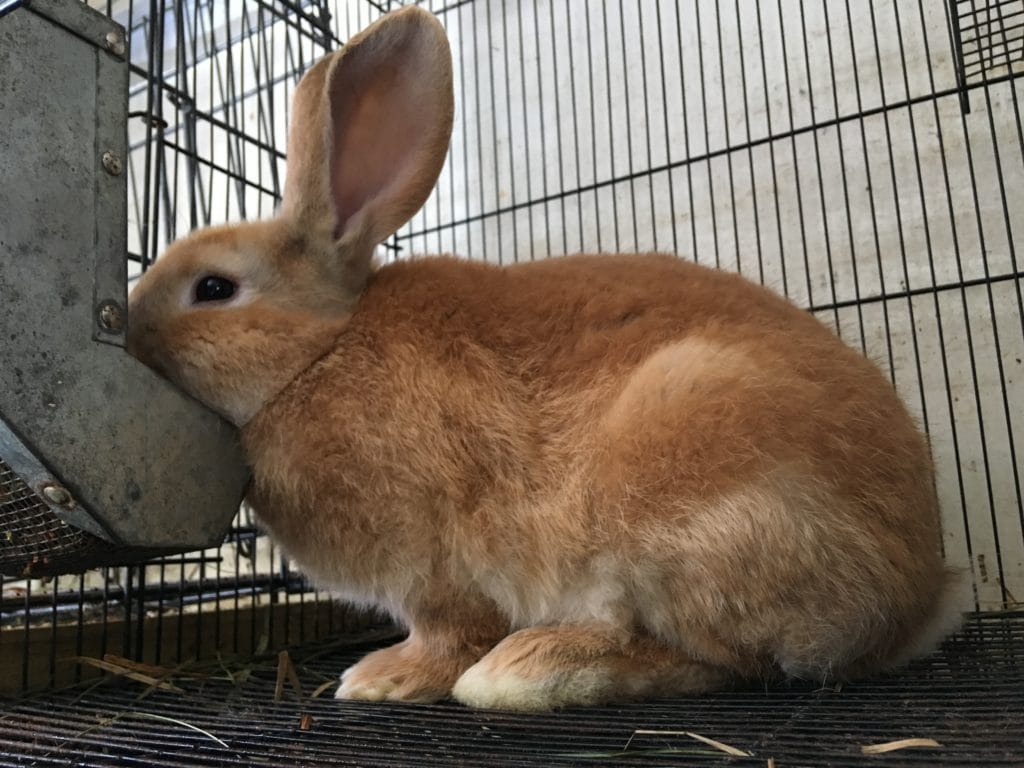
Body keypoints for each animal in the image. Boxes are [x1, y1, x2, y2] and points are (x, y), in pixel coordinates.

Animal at [127, 6, 962, 711]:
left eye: (213, 288)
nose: (128, 329)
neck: (319, 353)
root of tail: (921, 595)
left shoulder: (437, 569)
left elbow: (447, 632)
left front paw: (384, 679)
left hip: (677, 481)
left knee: (718, 660)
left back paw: (531, 671)